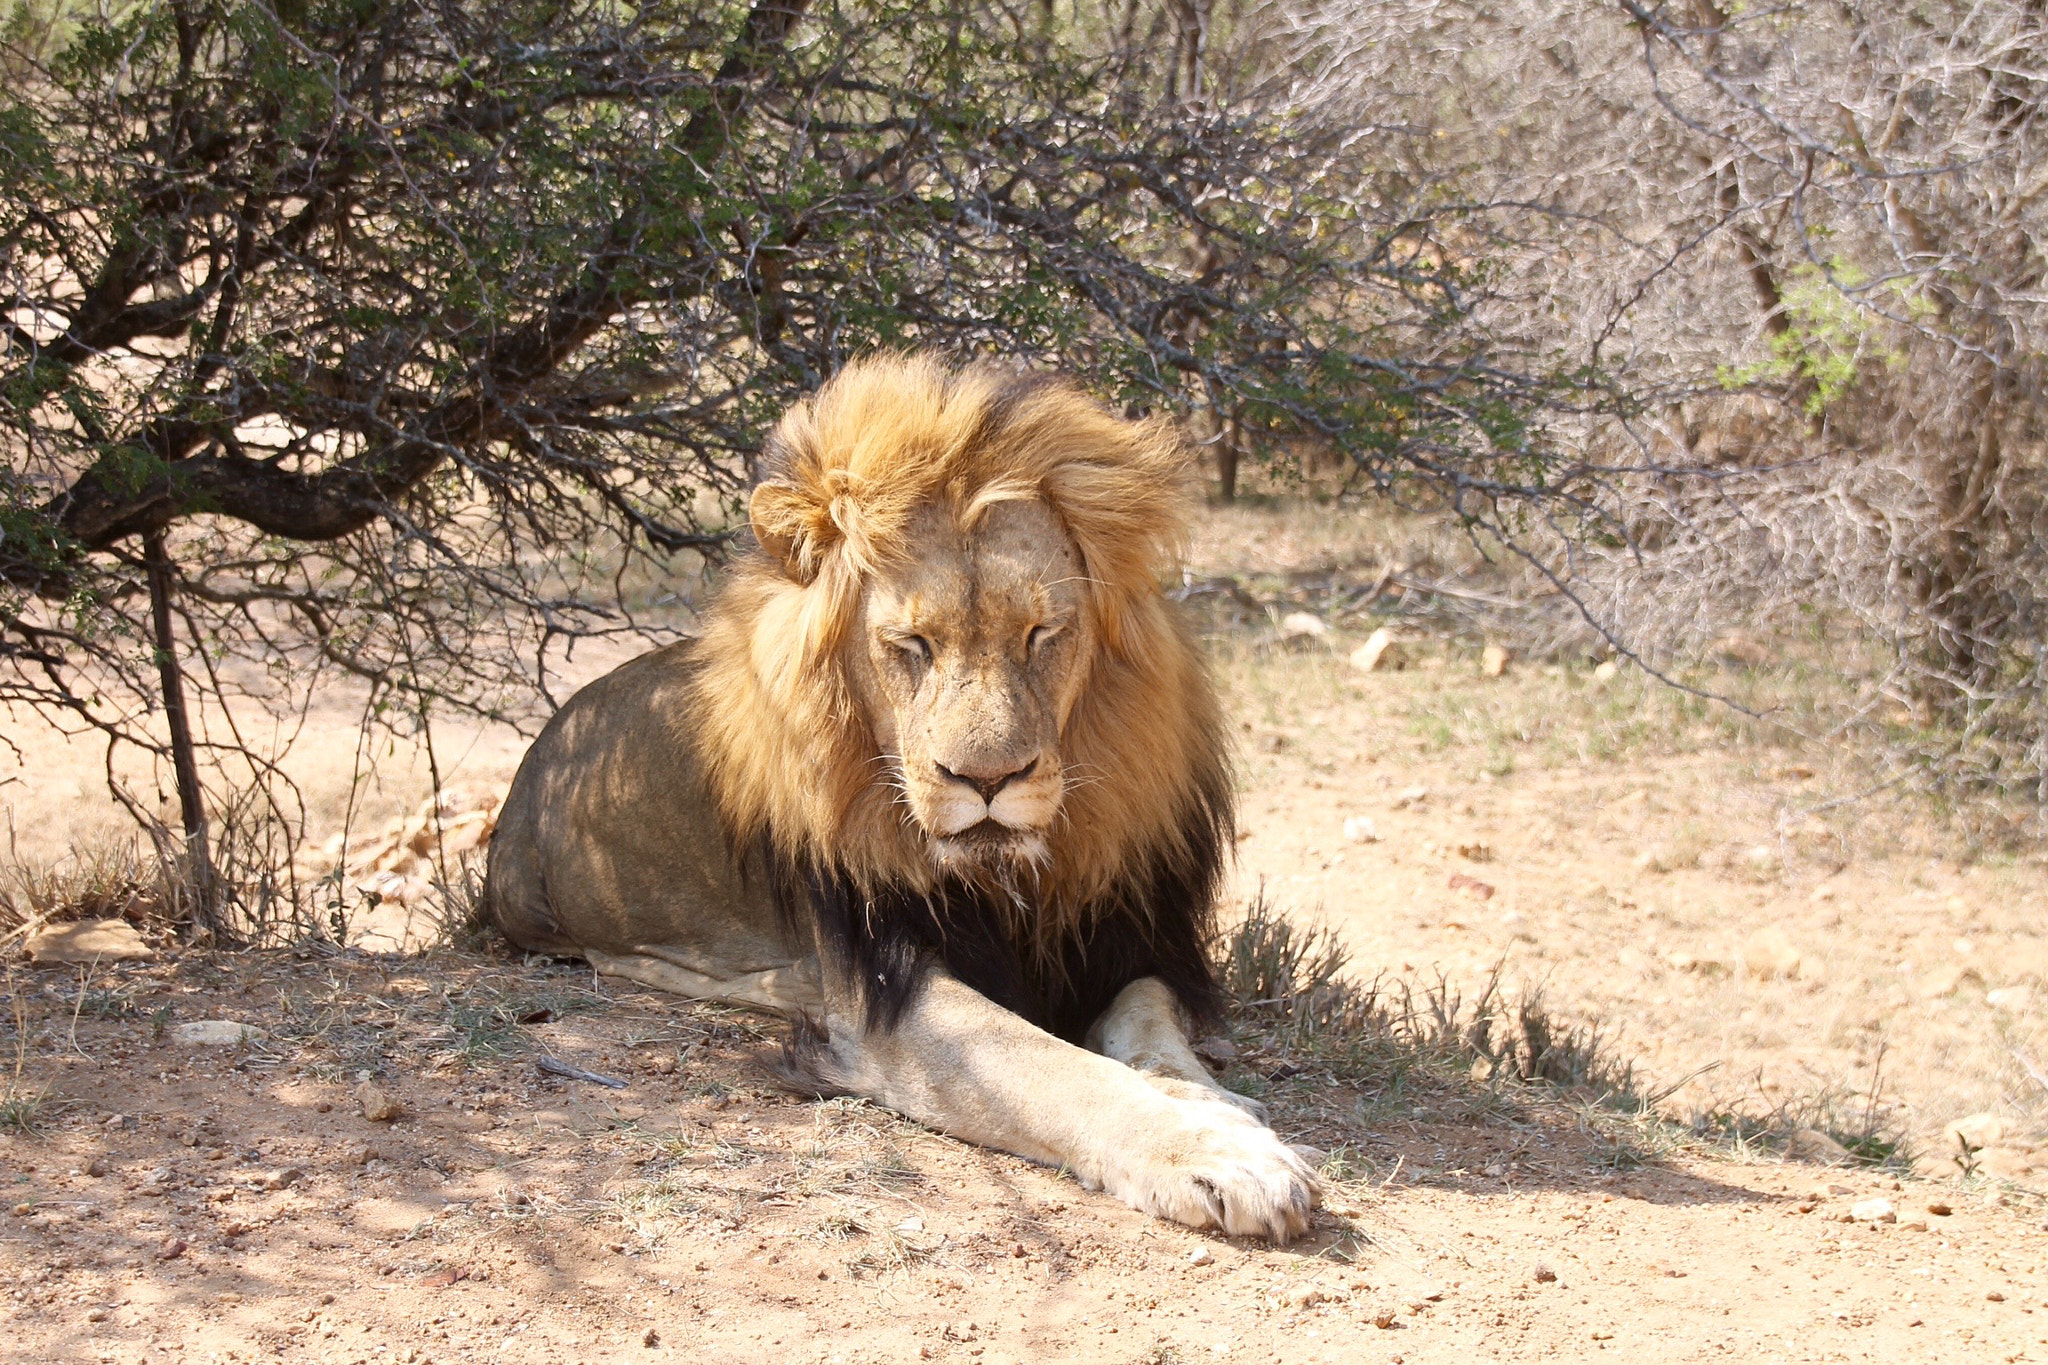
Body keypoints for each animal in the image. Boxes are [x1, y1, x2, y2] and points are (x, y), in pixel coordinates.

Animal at [485, 354, 1319, 1240]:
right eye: (911, 644)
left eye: (1041, 633)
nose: (987, 779)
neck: (1012, 876)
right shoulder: (886, 990)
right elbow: (1050, 1067)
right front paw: (1217, 1152)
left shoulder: (1131, 941)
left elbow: (1152, 1029)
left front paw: (1215, 1103)